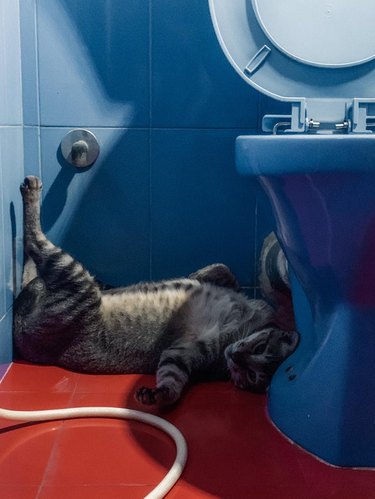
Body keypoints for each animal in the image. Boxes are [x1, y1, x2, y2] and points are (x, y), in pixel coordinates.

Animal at [12, 176, 300, 406]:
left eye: (251, 375)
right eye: (260, 347)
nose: (235, 356)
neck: (247, 327)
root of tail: (22, 335)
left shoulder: (186, 352)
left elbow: (172, 376)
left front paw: (161, 394)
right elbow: (226, 272)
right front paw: (201, 274)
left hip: (74, 276)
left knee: (35, 243)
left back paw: (31, 191)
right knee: (29, 266)